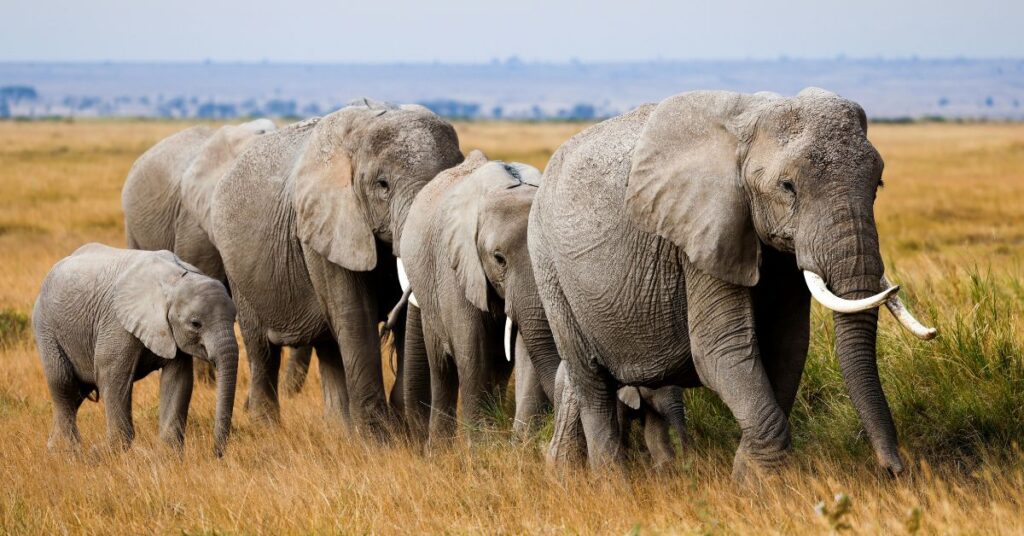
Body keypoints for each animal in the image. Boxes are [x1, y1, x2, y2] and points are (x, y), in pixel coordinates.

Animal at [33, 244, 238, 456]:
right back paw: (68, 452)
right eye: (195, 324)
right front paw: (110, 453)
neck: (174, 280)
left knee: (76, 394)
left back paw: (54, 449)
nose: (216, 453)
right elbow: (112, 376)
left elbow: (178, 379)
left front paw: (169, 455)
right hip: (46, 327)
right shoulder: (117, 323)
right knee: (63, 384)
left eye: (235, 319)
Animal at [210, 100, 463, 434]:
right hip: (238, 269)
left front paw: (400, 430)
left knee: (328, 345)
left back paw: (338, 428)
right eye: (382, 185)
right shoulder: (324, 227)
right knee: (262, 348)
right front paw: (380, 437)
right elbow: (355, 315)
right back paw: (268, 428)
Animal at [399, 151, 563, 445]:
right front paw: (482, 447)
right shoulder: (457, 266)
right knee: (442, 368)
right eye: (499, 259)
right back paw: (440, 448)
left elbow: (528, 350)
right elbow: (473, 350)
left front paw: (522, 443)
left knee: (498, 367)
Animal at [529, 89, 936, 480]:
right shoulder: (701, 234)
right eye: (787, 186)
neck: (752, 123)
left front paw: (752, 476)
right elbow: (720, 348)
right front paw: (752, 485)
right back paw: (611, 485)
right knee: (591, 382)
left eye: (878, 184)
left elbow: (787, 346)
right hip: (547, 263)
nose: (894, 470)